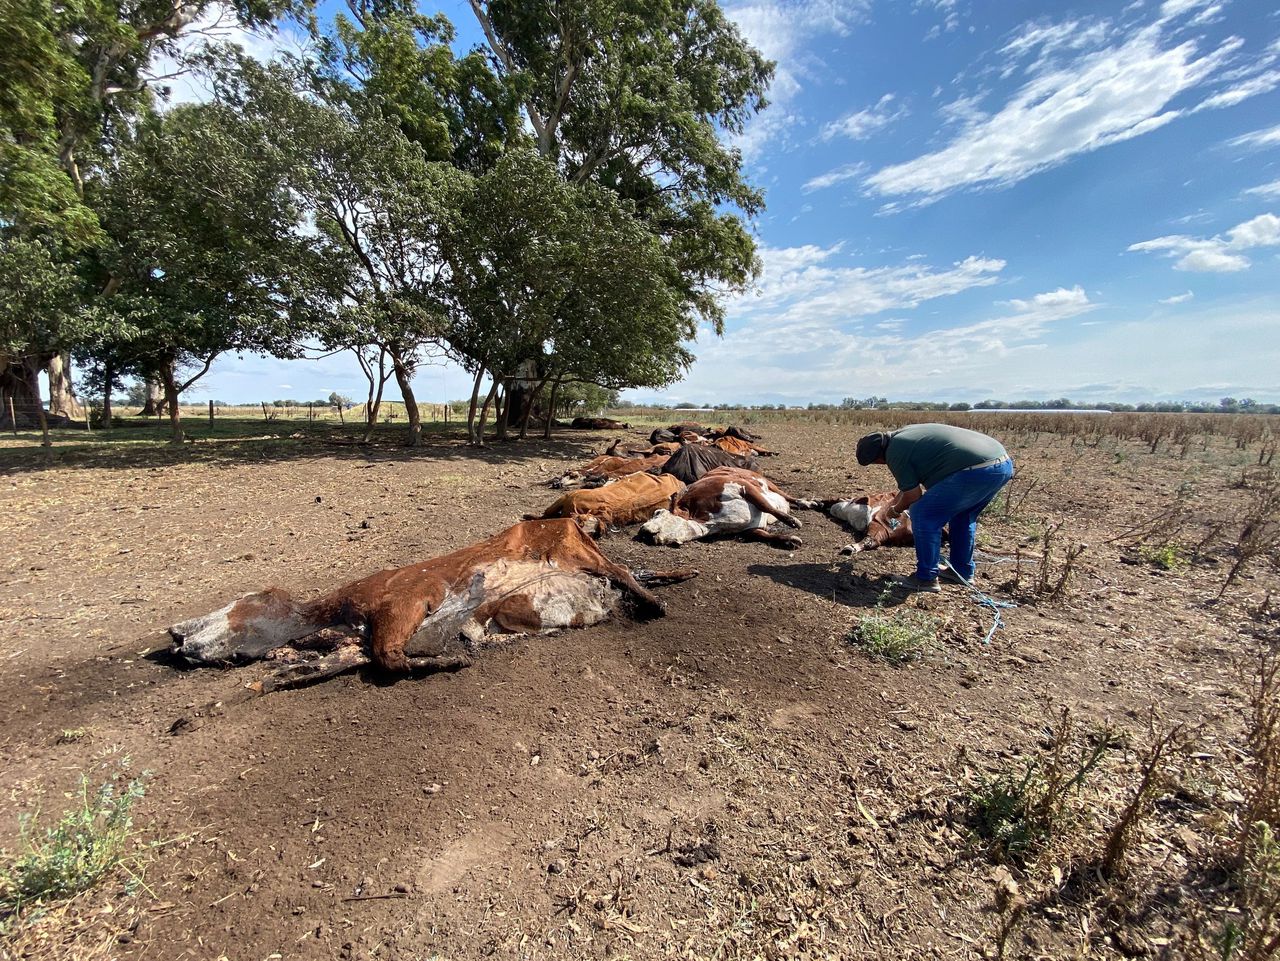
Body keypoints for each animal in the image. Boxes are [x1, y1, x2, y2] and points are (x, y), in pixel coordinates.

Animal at [170, 514, 701, 680]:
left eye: (242, 602)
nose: (175, 632)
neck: (328, 617)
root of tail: (566, 520)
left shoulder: (402, 602)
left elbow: (388, 656)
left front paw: (453, 658)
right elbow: (365, 659)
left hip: (578, 552)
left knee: (623, 570)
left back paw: (657, 603)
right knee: (634, 571)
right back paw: (678, 574)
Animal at [637, 468, 808, 547]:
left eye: (658, 513)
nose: (641, 530)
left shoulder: (741, 486)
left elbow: (766, 506)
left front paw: (792, 521)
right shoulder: (749, 529)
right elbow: (764, 535)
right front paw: (789, 540)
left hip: (765, 481)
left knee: (786, 496)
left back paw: (807, 503)